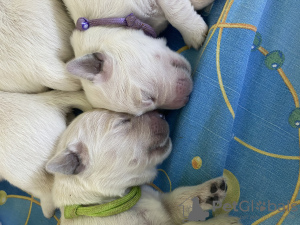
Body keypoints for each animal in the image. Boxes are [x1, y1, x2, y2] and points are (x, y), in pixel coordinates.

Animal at [45, 110, 240, 225]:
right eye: (123, 121)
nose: (162, 114)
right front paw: (222, 222)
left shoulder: (160, 201)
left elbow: (178, 198)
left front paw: (207, 193)